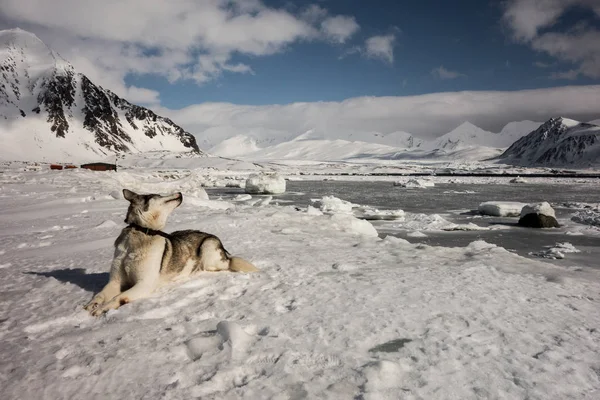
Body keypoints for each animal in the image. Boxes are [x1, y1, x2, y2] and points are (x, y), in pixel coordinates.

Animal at [83, 189, 256, 318]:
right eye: (158, 195)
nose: (179, 192)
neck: (142, 233)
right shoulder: (115, 281)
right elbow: (101, 294)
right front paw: (91, 305)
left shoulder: (144, 284)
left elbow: (119, 297)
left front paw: (101, 309)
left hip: (208, 249)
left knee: (225, 264)